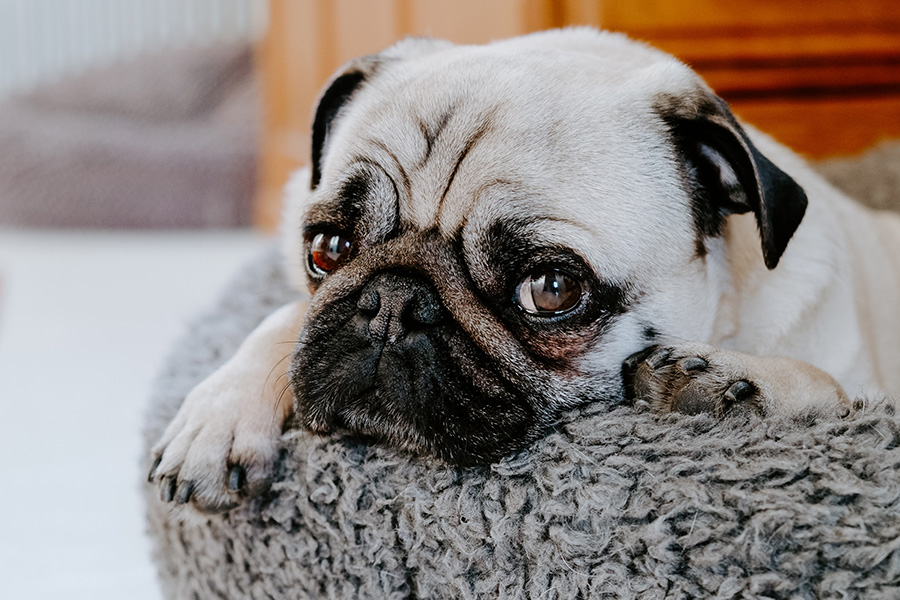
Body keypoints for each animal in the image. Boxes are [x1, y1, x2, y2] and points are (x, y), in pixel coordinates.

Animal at [146, 29, 892, 516]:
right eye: (328, 248)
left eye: (551, 290)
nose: (391, 303)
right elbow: (287, 316)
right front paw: (219, 415)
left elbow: (837, 391)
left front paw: (737, 383)